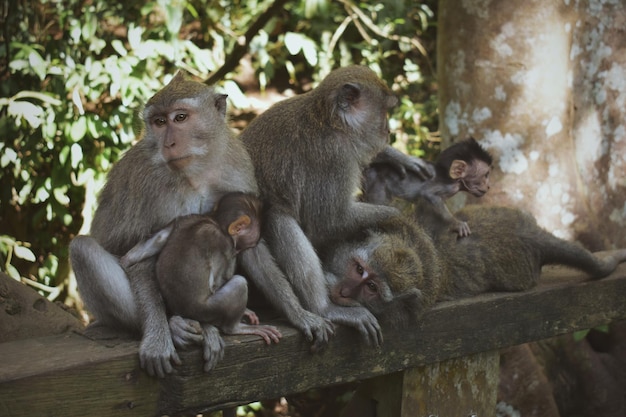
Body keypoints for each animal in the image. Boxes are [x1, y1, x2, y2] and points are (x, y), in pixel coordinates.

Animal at [118, 192, 280, 370]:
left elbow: (158, 239)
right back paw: (235, 328)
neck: (216, 222)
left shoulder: (187, 218)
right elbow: (218, 279)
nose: (239, 252)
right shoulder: (225, 245)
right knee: (239, 283)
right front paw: (245, 310)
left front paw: (126, 260)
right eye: (240, 248)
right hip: (205, 310)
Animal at [236, 64, 432, 344]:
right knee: (279, 218)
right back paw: (323, 308)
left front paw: (396, 156)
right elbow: (328, 221)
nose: (388, 131)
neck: (329, 120)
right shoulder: (334, 157)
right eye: (384, 111)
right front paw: (397, 216)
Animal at [360, 137, 492, 237]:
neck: (450, 178)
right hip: (377, 182)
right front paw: (456, 224)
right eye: (485, 175)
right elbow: (429, 195)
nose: (488, 186)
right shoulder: (447, 187)